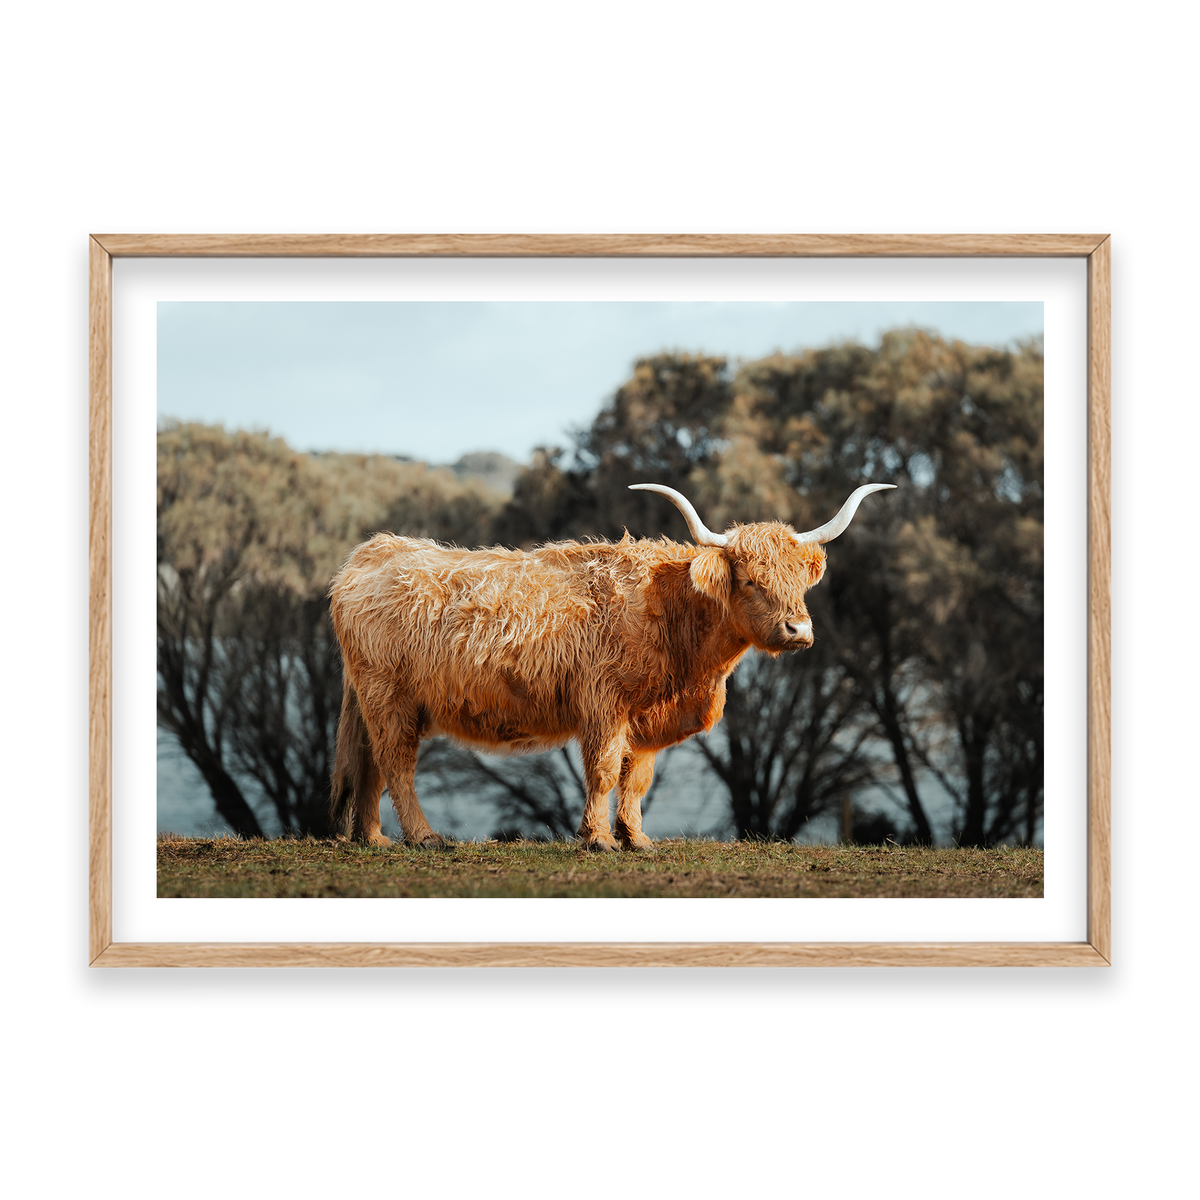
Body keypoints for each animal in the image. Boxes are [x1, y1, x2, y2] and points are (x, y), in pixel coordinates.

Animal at [329, 482, 894, 851]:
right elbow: (602, 771)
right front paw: (598, 839)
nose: (798, 630)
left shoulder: (646, 717)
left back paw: (374, 839)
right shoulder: (605, 703)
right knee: (396, 763)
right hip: (389, 697)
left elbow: (636, 777)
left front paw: (636, 838)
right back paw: (424, 837)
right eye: (752, 581)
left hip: (377, 701)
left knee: (371, 764)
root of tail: (372, 551)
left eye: (799, 581)